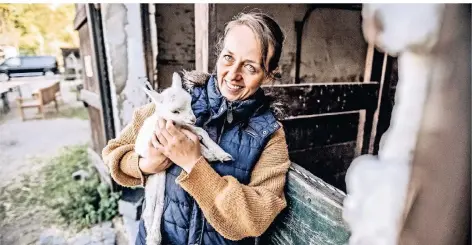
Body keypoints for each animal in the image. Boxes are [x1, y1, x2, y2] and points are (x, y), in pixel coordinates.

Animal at [134, 72, 233, 245]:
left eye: (190, 102)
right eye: (175, 111)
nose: (193, 118)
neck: (173, 124)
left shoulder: (185, 127)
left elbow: (201, 132)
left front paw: (220, 153)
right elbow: (193, 140)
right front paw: (209, 154)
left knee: (155, 206)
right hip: (156, 176)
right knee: (153, 208)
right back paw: (154, 237)